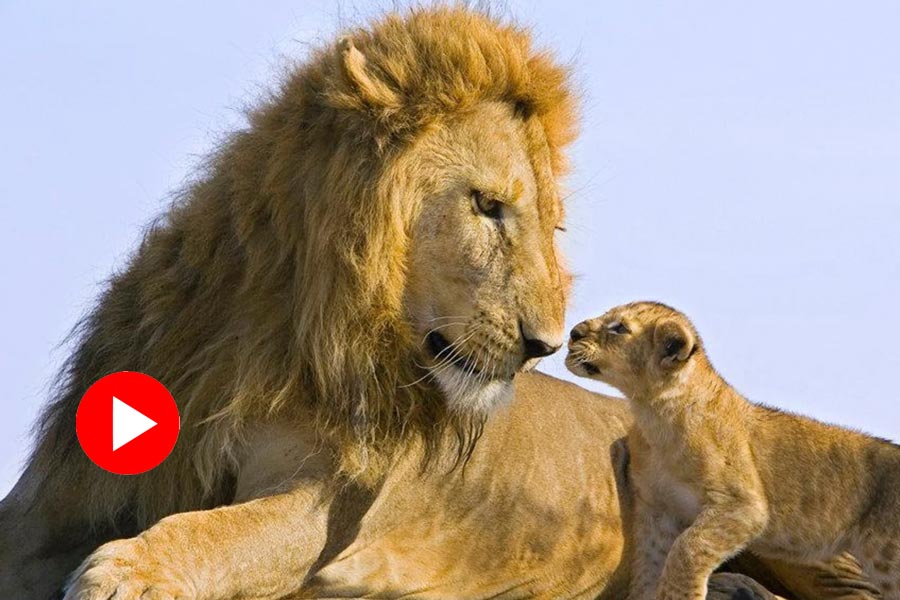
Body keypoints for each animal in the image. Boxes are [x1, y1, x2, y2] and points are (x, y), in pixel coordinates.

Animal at [0, 7, 878, 600]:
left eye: (553, 226)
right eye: (488, 207)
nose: (545, 343)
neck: (280, 330)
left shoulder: (326, 505)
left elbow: (221, 531)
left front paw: (126, 570)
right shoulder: (60, 494)